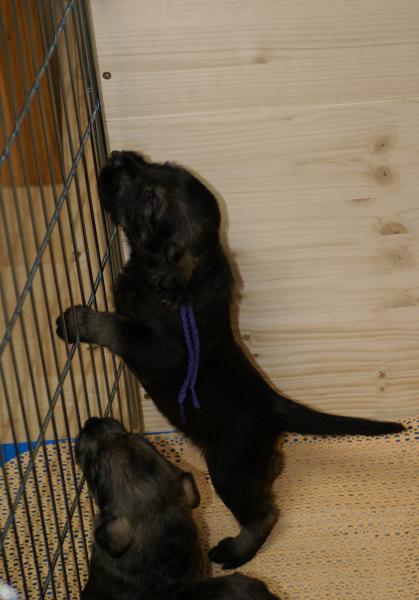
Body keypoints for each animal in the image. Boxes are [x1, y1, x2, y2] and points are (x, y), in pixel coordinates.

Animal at [57, 150, 404, 569]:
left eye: (151, 199)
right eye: (159, 165)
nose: (117, 156)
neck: (186, 278)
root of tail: (273, 403)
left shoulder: (157, 347)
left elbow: (117, 327)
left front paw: (78, 322)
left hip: (227, 468)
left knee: (263, 514)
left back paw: (236, 551)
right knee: (269, 474)